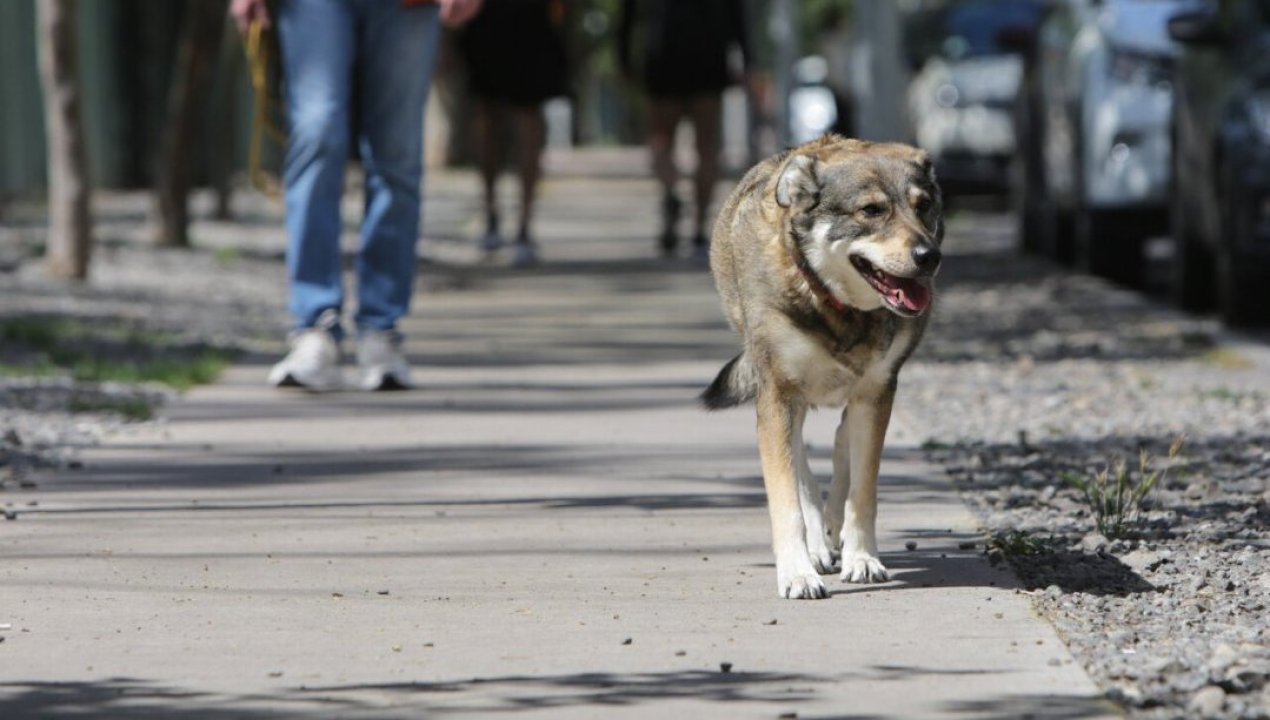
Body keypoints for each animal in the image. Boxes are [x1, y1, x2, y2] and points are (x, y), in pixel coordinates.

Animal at [706, 133, 944, 596]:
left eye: (923, 205)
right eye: (871, 211)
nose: (930, 256)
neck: (838, 306)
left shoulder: (877, 391)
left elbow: (862, 490)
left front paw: (863, 558)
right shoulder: (778, 395)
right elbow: (787, 496)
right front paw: (798, 572)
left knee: (841, 443)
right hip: (787, 399)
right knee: (802, 466)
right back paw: (817, 546)